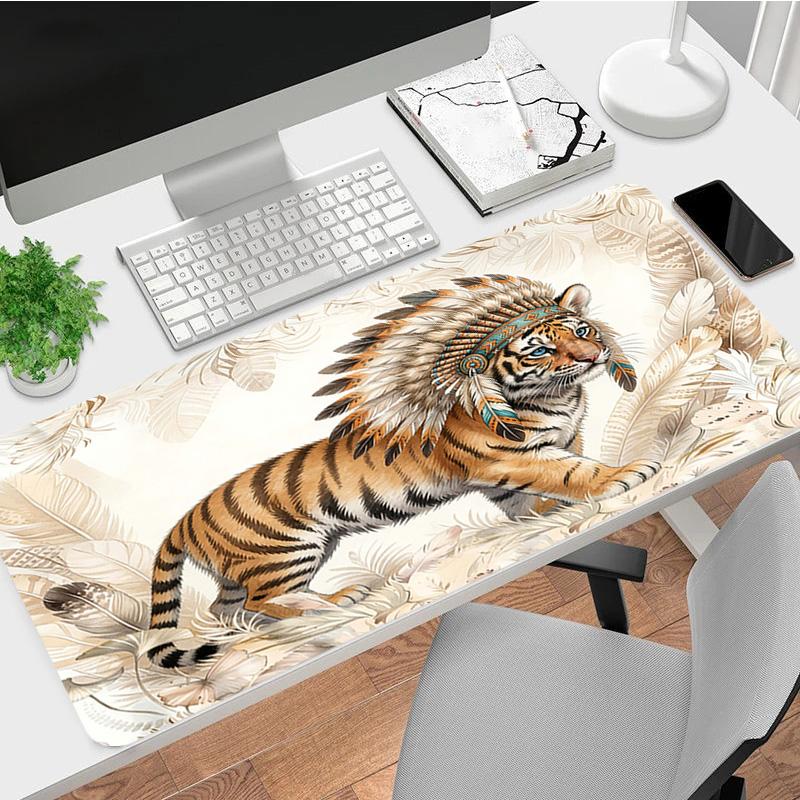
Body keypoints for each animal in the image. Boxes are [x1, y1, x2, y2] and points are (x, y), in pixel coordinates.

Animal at [146, 275, 660, 668]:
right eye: (539, 351)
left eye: (583, 330)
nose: (592, 357)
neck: (556, 397)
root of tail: (184, 521)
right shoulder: (511, 457)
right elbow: (573, 473)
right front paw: (627, 473)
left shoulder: (542, 451)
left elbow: (527, 499)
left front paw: (544, 516)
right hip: (283, 552)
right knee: (264, 599)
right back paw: (331, 604)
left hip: (254, 567)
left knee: (228, 608)